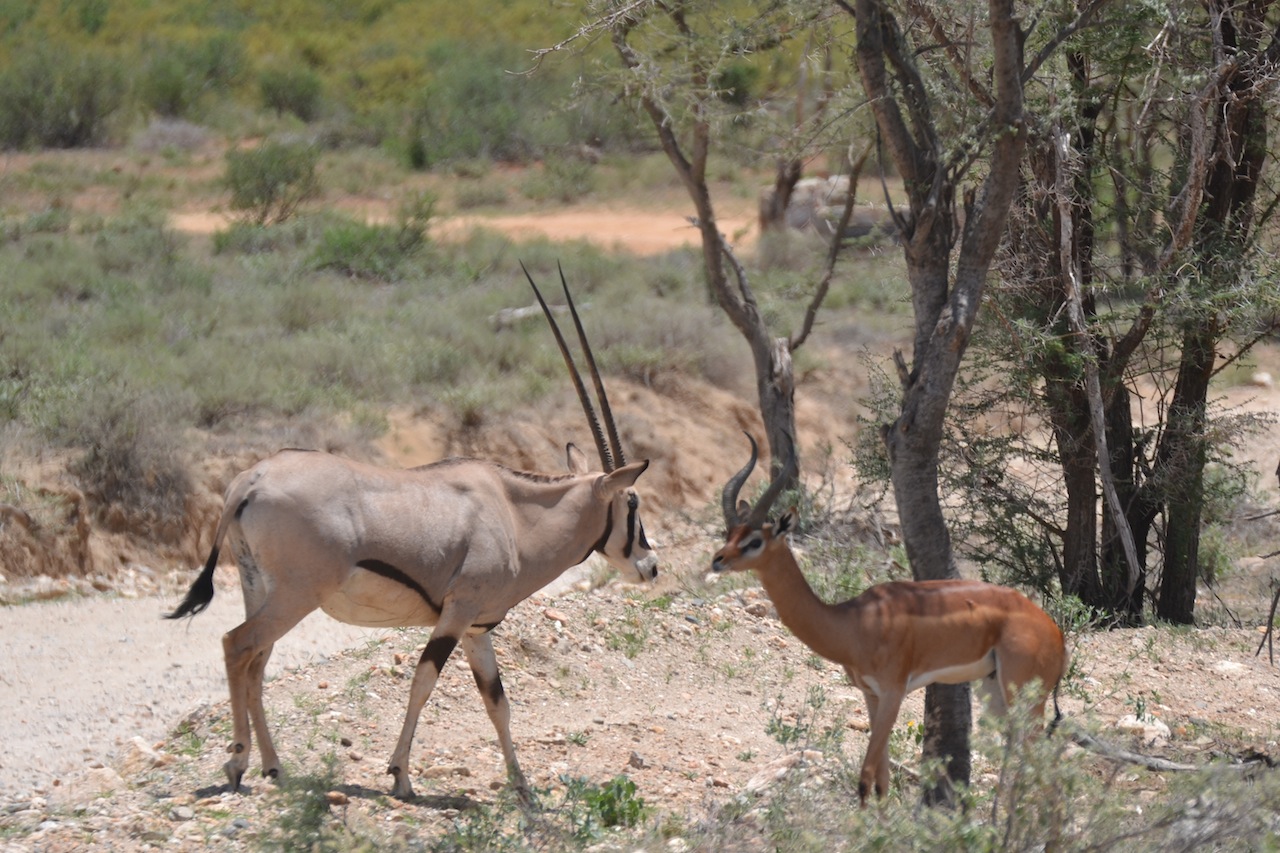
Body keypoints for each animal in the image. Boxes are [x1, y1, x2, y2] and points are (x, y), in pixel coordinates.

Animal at [167, 265, 658, 802]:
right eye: (632, 503)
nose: (651, 566)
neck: (514, 515)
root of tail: (250, 480)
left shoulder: (477, 629)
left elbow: (498, 702)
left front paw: (523, 787)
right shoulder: (456, 615)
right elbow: (422, 683)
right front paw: (401, 775)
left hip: (261, 590)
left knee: (256, 661)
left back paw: (274, 767)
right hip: (295, 596)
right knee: (237, 646)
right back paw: (237, 762)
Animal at [712, 435, 1066, 804]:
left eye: (754, 540)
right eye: (729, 533)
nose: (717, 560)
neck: (852, 622)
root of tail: (1056, 633)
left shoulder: (894, 693)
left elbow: (866, 776)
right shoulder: (871, 695)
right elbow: (880, 779)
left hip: (1025, 699)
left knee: (1050, 775)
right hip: (996, 694)